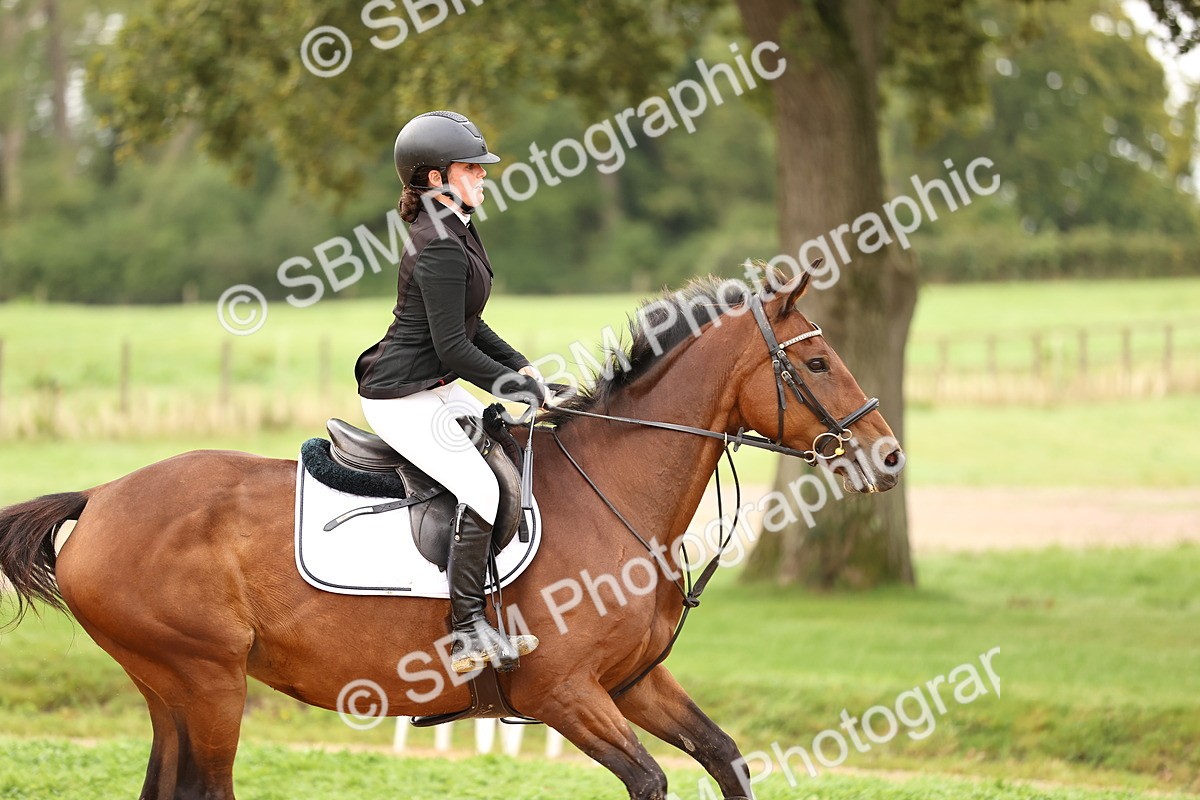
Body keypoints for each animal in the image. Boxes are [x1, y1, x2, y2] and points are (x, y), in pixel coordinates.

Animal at [0, 271, 904, 800]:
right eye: (816, 364)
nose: (889, 456)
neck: (615, 495)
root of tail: (102, 497)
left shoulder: (632, 682)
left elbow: (725, 757)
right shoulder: (563, 695)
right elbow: (651, 781)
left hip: (169, 690)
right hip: (206, 681)